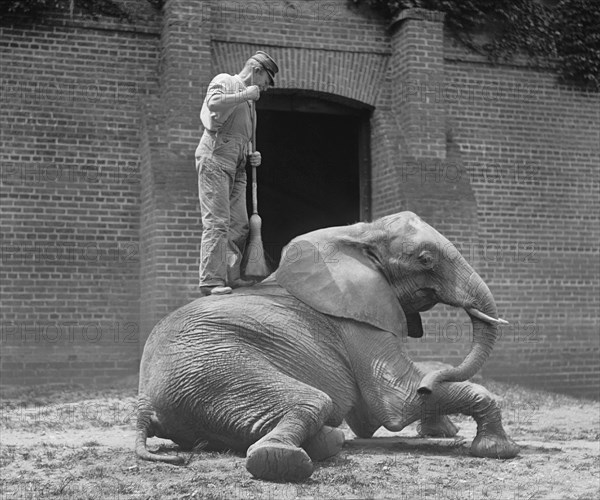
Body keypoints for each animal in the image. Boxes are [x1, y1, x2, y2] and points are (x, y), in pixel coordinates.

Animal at [136, 211, 520, 480]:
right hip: (215, 370)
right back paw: (285, 459)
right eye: (425, 259)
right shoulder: (354, 322)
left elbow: (380, 410)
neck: (359, 233)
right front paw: (499, 450)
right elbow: (396, 402)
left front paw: (442, 428)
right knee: (313, 401)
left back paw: (329, 441)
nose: (429, 389)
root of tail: (145, 407)